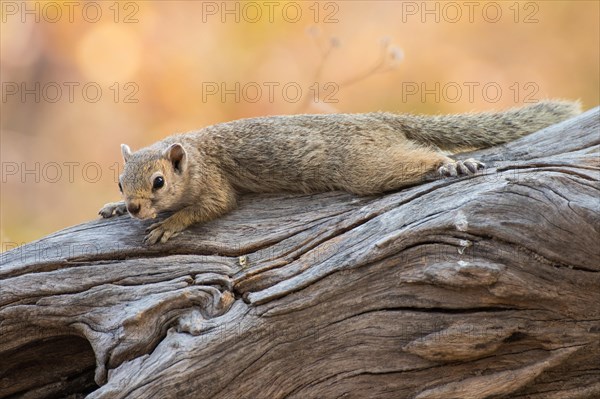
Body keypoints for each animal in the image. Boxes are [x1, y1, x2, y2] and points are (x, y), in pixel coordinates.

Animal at [99, 100, 580, 245]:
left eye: (159, 182)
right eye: (120, 182)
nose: (135, 207)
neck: (194, 154)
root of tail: (379, 118)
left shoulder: (214, 181)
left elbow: (214, 205)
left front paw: (169, 224)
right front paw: (112, 209)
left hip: (364, 164)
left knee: (419, 155)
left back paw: (451, 163)